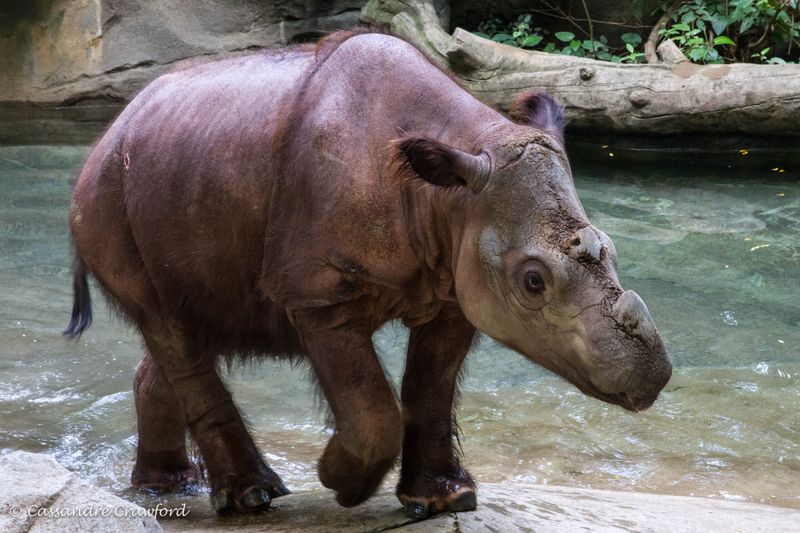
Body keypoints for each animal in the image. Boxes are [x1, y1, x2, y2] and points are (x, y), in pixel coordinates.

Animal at [65, 28, 672, 516]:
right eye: (533, 281)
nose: (653, 378)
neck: (451, 194)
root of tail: (110, 129)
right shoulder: (317, 293)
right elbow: (369, 405)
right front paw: (341, 483)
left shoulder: (456, 289)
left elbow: (430, 389)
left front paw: (446, 499)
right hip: (104, 196)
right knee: (168, 326)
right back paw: (251, 498)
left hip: (178, 174)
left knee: (191, 325)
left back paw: (167, 489)